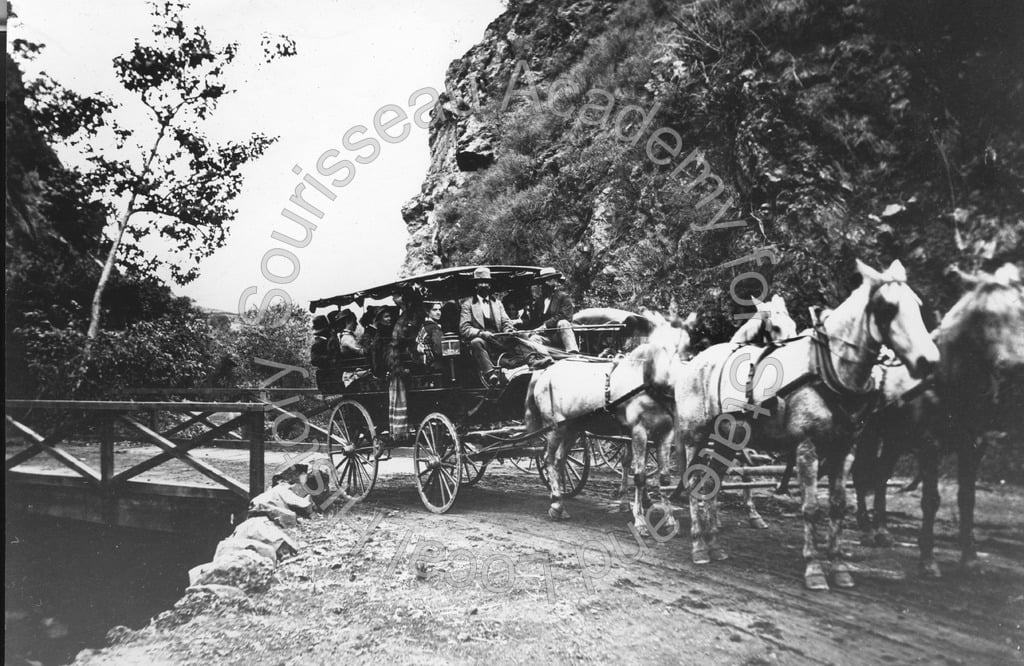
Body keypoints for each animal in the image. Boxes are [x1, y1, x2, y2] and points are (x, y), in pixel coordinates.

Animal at [524, 313, 692, 532]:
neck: (646, 383)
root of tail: (545, 372)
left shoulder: (665, 433)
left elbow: (663, 477)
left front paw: (670, 521)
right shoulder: (639, 432)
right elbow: (639, 476)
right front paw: (639, 521)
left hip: (572, 428)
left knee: (560, 460)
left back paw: (559, 500)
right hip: (555, 428)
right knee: (549, 460)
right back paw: (556, 504)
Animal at [667, 259, 937, 586]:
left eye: (918, 305)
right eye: (887, 307)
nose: (929, 361)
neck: (826, 368)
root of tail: (695, 362)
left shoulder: (843, 449)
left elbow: (838, 506)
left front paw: (840, 566)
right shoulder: (807, 447)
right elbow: (810, 508)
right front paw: (814, 568)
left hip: (726, 442)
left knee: (711, 484)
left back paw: (714, 545)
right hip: (696, 437)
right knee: (695, 484)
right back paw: (698, 546)